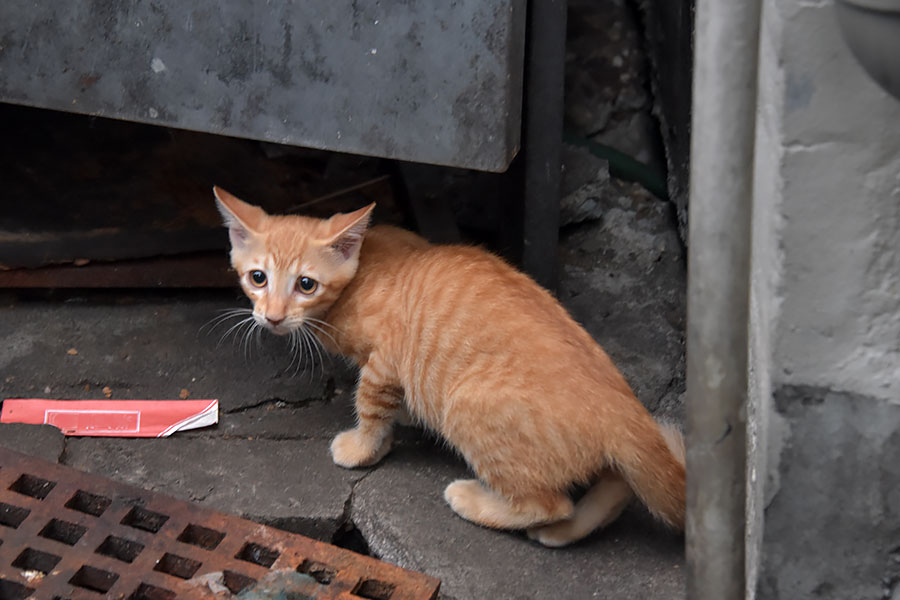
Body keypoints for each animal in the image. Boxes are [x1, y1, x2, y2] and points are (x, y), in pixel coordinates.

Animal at [214, 188, 684, 548]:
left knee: (549, 503)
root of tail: (625, 412)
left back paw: (474, 501)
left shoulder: (386, 360)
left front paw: (364, 448)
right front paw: (401, 416)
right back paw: (565, 532)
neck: (364, 269)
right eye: (257, 278)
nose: (273, 318)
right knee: (616, 487)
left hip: (466, 404)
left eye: (306, 285)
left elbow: (370, 404)